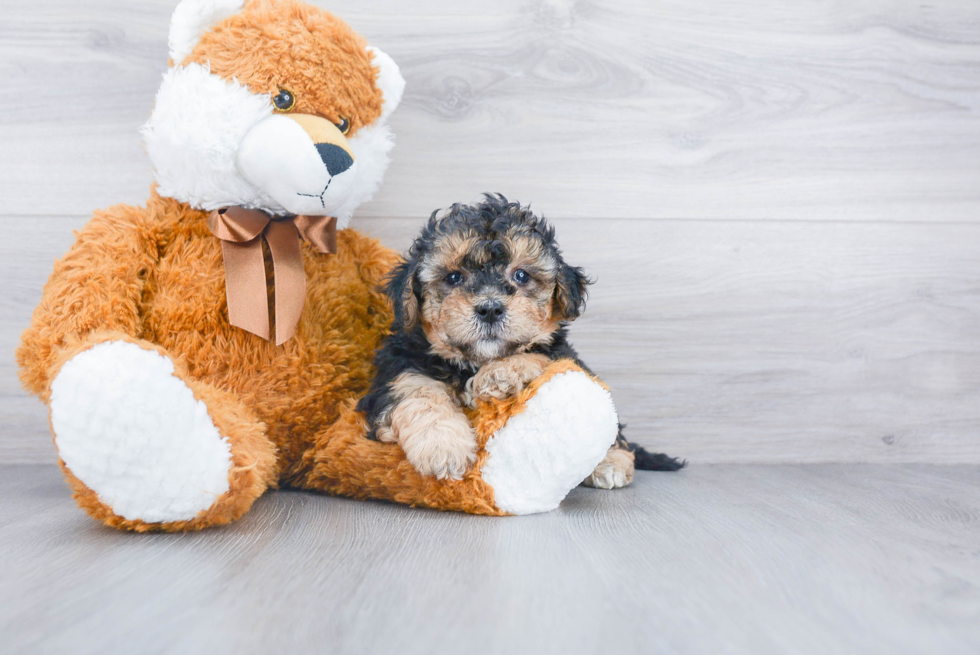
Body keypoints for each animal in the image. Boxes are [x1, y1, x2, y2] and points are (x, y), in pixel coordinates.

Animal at [356, 195, 684, 486]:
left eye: (522, 275)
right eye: (453, 278)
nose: (490, 308)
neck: (473, 363)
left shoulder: (561, 354)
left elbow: (538, 354)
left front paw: (499, 374)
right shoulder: (398, 372)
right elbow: (420, 394)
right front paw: (443, 447)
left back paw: (610, 464)